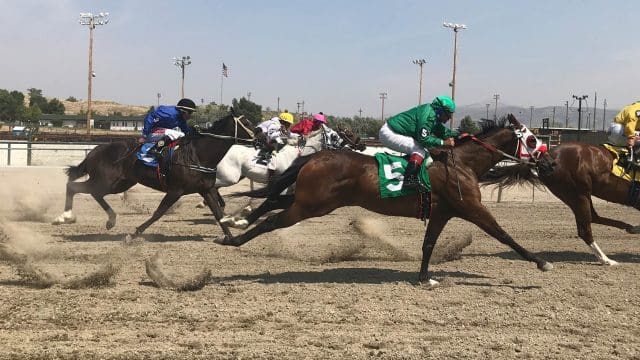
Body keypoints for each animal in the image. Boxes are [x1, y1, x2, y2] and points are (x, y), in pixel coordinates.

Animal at [52, 114, 255, 240]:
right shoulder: (176, 190)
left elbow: (219, 213)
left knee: (94, 193)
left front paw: (231, 236)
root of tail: (95, 151)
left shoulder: (206, 189)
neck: (198, 154)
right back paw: (64, 217)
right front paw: (134, 234)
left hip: (120, 184)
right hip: (106, 182)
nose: (260, 134)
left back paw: (110, 219)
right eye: (248, 124)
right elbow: (159, 212)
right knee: (74, 187)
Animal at [215, 114, 552, 286]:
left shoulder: (442, 212)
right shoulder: (472, 209)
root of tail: (318, 156)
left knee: (272, 202)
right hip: (311, 205)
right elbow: (504, 235)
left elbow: (428, 244)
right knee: (272, 219)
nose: (548, 162)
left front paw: (424, 277)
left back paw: (235, 221)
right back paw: (233, 237)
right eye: (532, 139)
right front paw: (541, 262)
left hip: (313, 201)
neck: (462, 163)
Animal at [480, 142, 640, 266]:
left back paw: (631, 228)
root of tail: (543, 160)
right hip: (577, 194)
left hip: (578, 195)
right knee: (585, 229)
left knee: (593, 218)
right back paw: (607, 260)